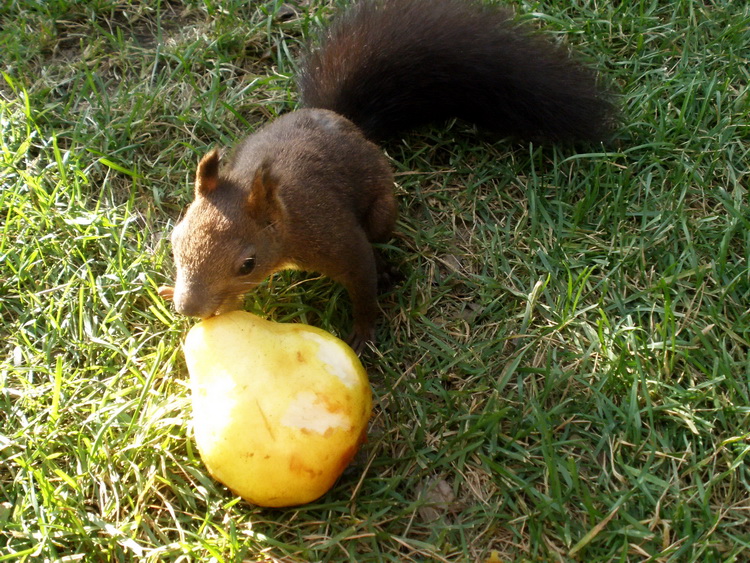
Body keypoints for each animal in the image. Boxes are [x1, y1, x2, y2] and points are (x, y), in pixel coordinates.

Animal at [159, 0, 616, 352]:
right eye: (175, 241)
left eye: (247, 264)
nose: (188, 308)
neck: (286, 222)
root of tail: (344, 120)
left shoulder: (333, 237)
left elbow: (363, 280)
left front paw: (364, 333)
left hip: (381, 206)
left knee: (381, 235)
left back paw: (388, 267)